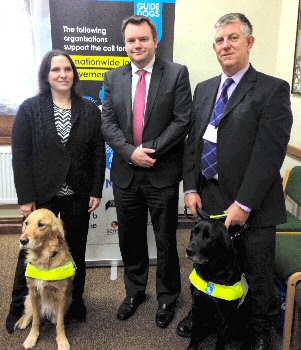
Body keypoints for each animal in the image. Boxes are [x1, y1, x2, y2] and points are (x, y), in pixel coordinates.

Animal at [14, 209, 75, 350]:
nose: (23, 240)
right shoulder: (34, 293)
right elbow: (36, 320)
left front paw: (62, 340)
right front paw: (32, 337)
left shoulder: (62, 295)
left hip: (68, 300)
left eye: (41, 224)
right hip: (28, 300)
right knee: (28, 314)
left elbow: (60, 323)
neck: (43, 257)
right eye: (26, 223)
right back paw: (23, 322)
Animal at [185, 219, 244, 350]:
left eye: (209, 237)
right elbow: (195, 332)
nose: (188, 251)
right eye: (193, 232)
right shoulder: (197, 307)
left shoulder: (223, 316)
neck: (210, 274)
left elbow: (220, 340)